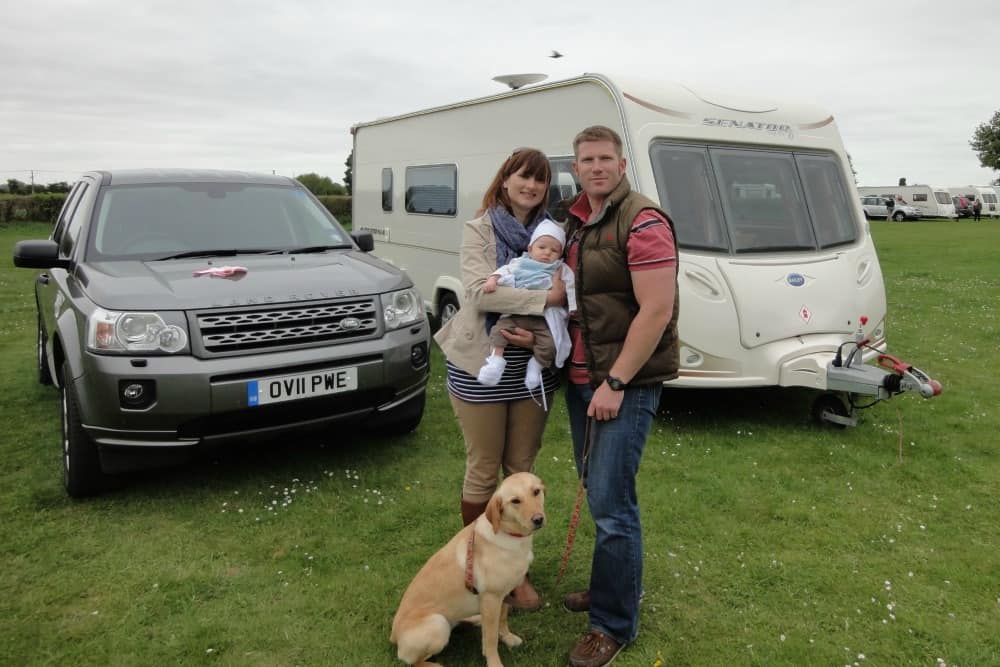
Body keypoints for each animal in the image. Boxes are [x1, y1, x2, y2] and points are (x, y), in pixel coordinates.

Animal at [390, 472, 548, 664]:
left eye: (536, 491)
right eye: (515, 501)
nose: (538, 519)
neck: (508, 533)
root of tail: (393, 636)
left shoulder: (503, 595)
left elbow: (502, 619)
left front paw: (507, 637)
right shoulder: (491, 598)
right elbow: (490, 639)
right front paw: (494, 662)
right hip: (438, 624)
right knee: (415, 662)